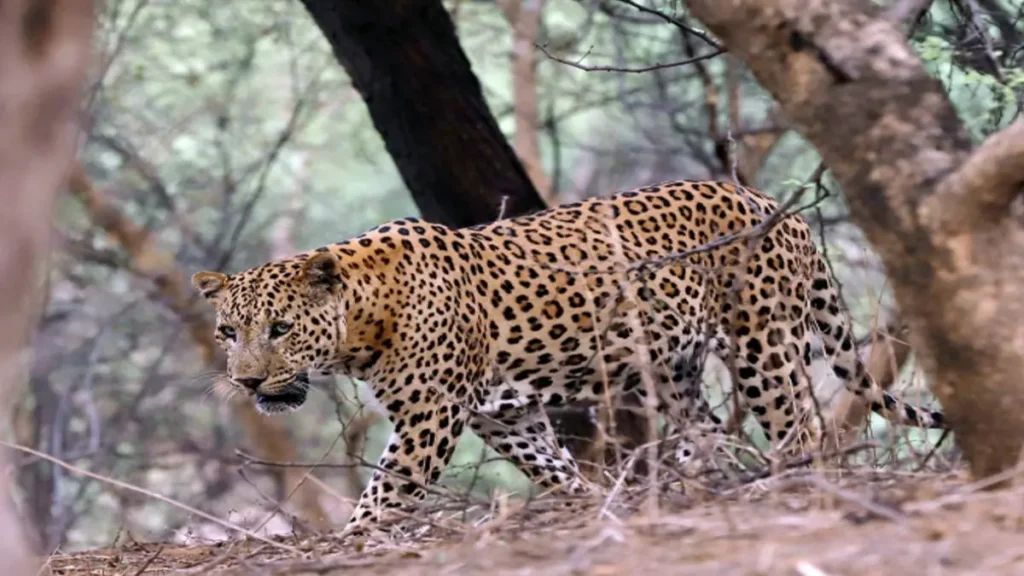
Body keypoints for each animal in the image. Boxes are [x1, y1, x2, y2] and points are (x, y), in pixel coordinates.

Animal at [191, 179, 946, 534]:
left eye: (280, 328)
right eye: (228, 332)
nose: (247, 381)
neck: (362, 322)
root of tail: (770, 202)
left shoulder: (432, 417)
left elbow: (383, 495)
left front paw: (351, 541)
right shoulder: (503, 415)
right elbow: (553, 469)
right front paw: (588, 505)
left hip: (762, 342)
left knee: (802, 428)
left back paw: (796, 488)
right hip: (670, 365)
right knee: (704, 428)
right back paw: (683, 483)